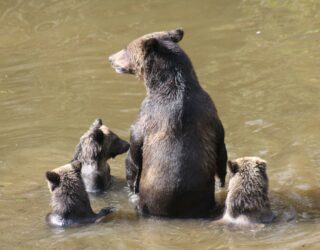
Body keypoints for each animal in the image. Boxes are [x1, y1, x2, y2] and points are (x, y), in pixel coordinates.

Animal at [109, 28, 229, 217]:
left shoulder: (144, 118)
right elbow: (221, 152)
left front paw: (131, 185)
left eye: (126, 48)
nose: (110, 58)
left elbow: (133, 153)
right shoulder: (211, 117)